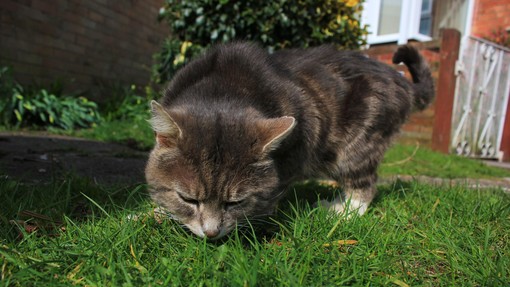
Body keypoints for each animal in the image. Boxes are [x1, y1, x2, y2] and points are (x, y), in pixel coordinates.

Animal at [144, 41, 434, 240]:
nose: (212, 233)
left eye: (235, 202)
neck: (222, 89)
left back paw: (342, 210)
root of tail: (401, 80)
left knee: (365, 184)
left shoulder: (295, 153)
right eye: (187, 199)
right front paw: (152, 213)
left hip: (358, 144)